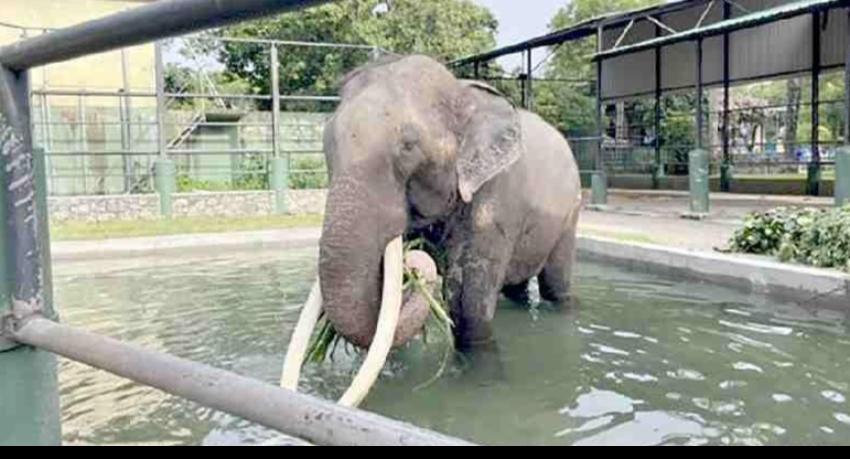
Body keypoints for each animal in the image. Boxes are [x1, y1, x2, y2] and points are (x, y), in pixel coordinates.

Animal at [281, 54, 581, 406]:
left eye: (409, 145)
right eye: (326, 142)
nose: (417, 267)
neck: (461, 90)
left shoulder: (495, 198)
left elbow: (467, 301)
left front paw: (482, 384)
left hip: (571, 211)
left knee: (555, 283)